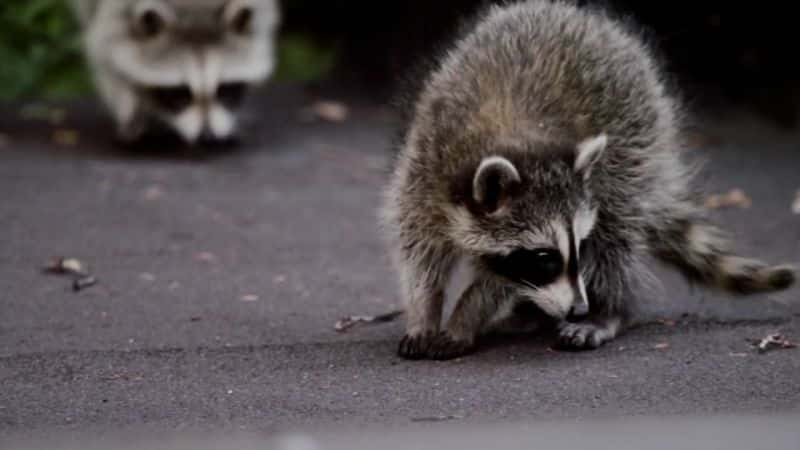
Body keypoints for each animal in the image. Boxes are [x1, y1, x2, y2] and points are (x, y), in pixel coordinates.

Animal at [70, 0, 282, 144]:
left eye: (224, 89)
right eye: (180, 94)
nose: (207, 136)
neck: (197, 13)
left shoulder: (263, 12)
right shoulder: (112, 14)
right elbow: (105, 55)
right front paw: (132, 108)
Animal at [378, 0, 796, 360]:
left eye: (579, 245)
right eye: (544, 257)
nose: (579, 307)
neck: (513, 133)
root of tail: (580, 14)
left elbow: (499, 278)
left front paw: (466, 314)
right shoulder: (426, 162)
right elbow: (419, 249)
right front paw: (425, 312)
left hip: (638, 134)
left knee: (616, 228)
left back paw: (608, 310)